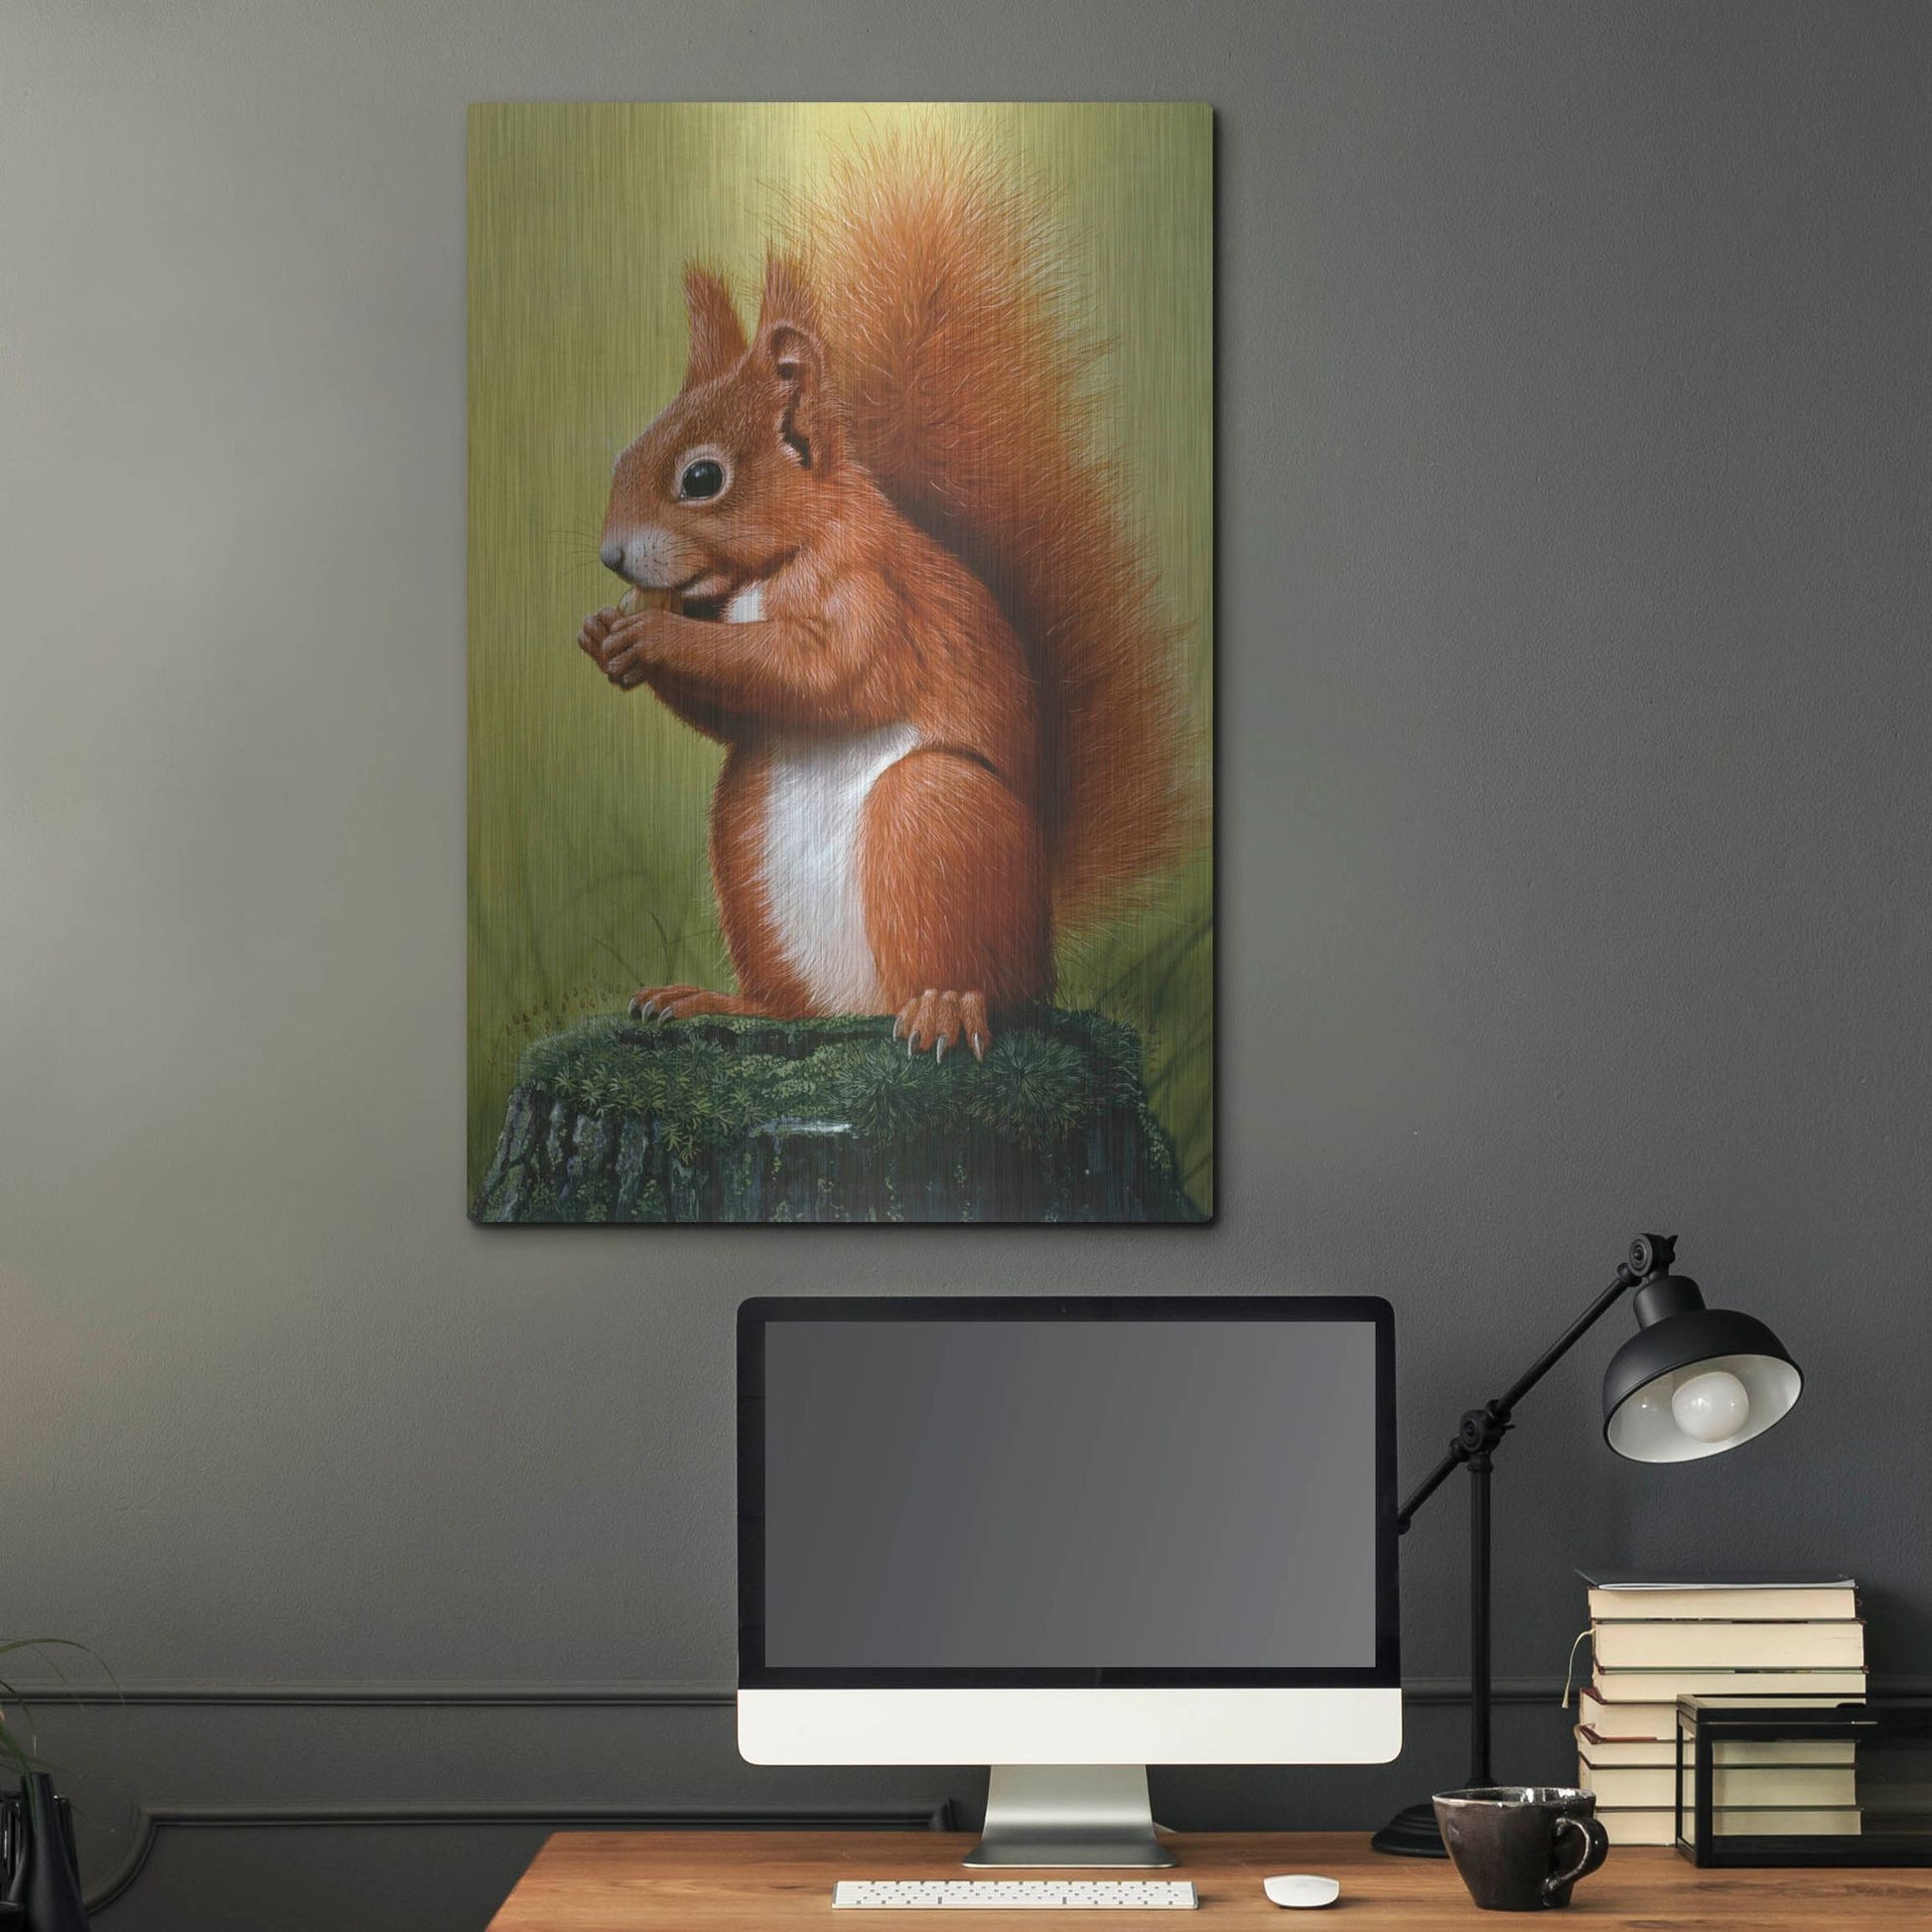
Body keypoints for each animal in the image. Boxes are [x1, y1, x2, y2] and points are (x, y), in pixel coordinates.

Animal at [578, 135, 1193, 1061]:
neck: (771, 569)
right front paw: (607, 635)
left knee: (984, 984)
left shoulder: (873, 595)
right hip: (743, 844)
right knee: (795, 1005)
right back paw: (720, 1001)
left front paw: (653, 637)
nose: (612, 557)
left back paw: (946, 1007)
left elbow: (826, 673)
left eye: (702, 479)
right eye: (623, 453)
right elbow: (736, 710)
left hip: (934, 819)